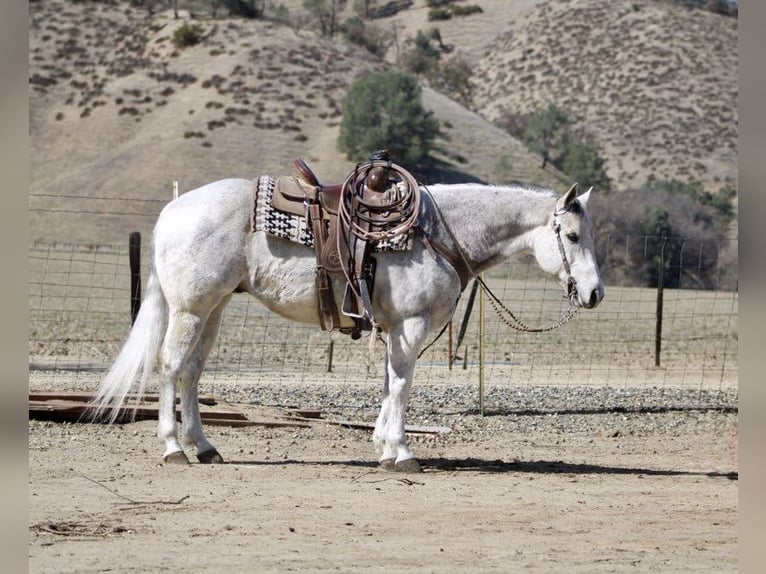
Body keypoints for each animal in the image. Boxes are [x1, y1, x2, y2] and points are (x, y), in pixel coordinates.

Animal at [89, 174, 604, 472]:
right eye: (572, 235)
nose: (595, 293)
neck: (439, 233)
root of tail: (171, 211)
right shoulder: (411, 326)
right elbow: (402, 385)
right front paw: (401, 453)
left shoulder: (395, 329)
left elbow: (390, 382)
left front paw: (383, 445)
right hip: (190, 309)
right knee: (171, 367)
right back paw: (173, 448)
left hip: (212, 310)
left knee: (193, 373)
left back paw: (205, 447)